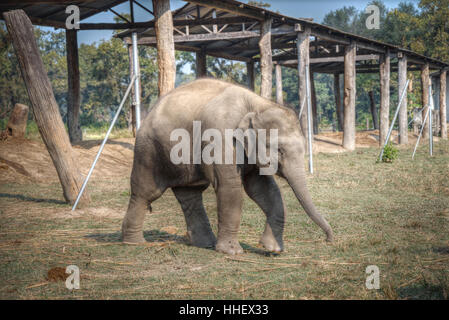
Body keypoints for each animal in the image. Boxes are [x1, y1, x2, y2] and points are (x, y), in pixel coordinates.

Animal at [121, 78, 330, 255]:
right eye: (279, 150)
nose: (328, 239)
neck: (258, 105)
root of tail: (149, 112)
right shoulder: (220, 137)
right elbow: (231, 187)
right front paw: (232, 252)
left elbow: (263, 188)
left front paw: (272, 249)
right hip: (149, 151)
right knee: (145, 192)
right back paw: (133, 242)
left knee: (190, 195)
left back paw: (205, 244)